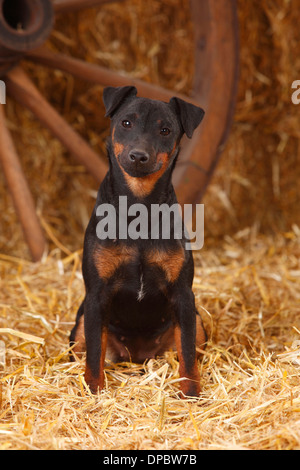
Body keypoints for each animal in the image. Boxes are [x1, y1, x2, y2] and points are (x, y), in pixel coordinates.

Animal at [69, 85, 206, 396]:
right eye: (126, 122)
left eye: (166, 130)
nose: (139, 156)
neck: (139, 208)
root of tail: (139, 357)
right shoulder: (96, 296)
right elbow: (94, 355)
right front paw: (94, 391)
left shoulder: (183, 295)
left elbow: (187, 353)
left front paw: (191, 393)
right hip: (81, 323)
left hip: (198, 321)